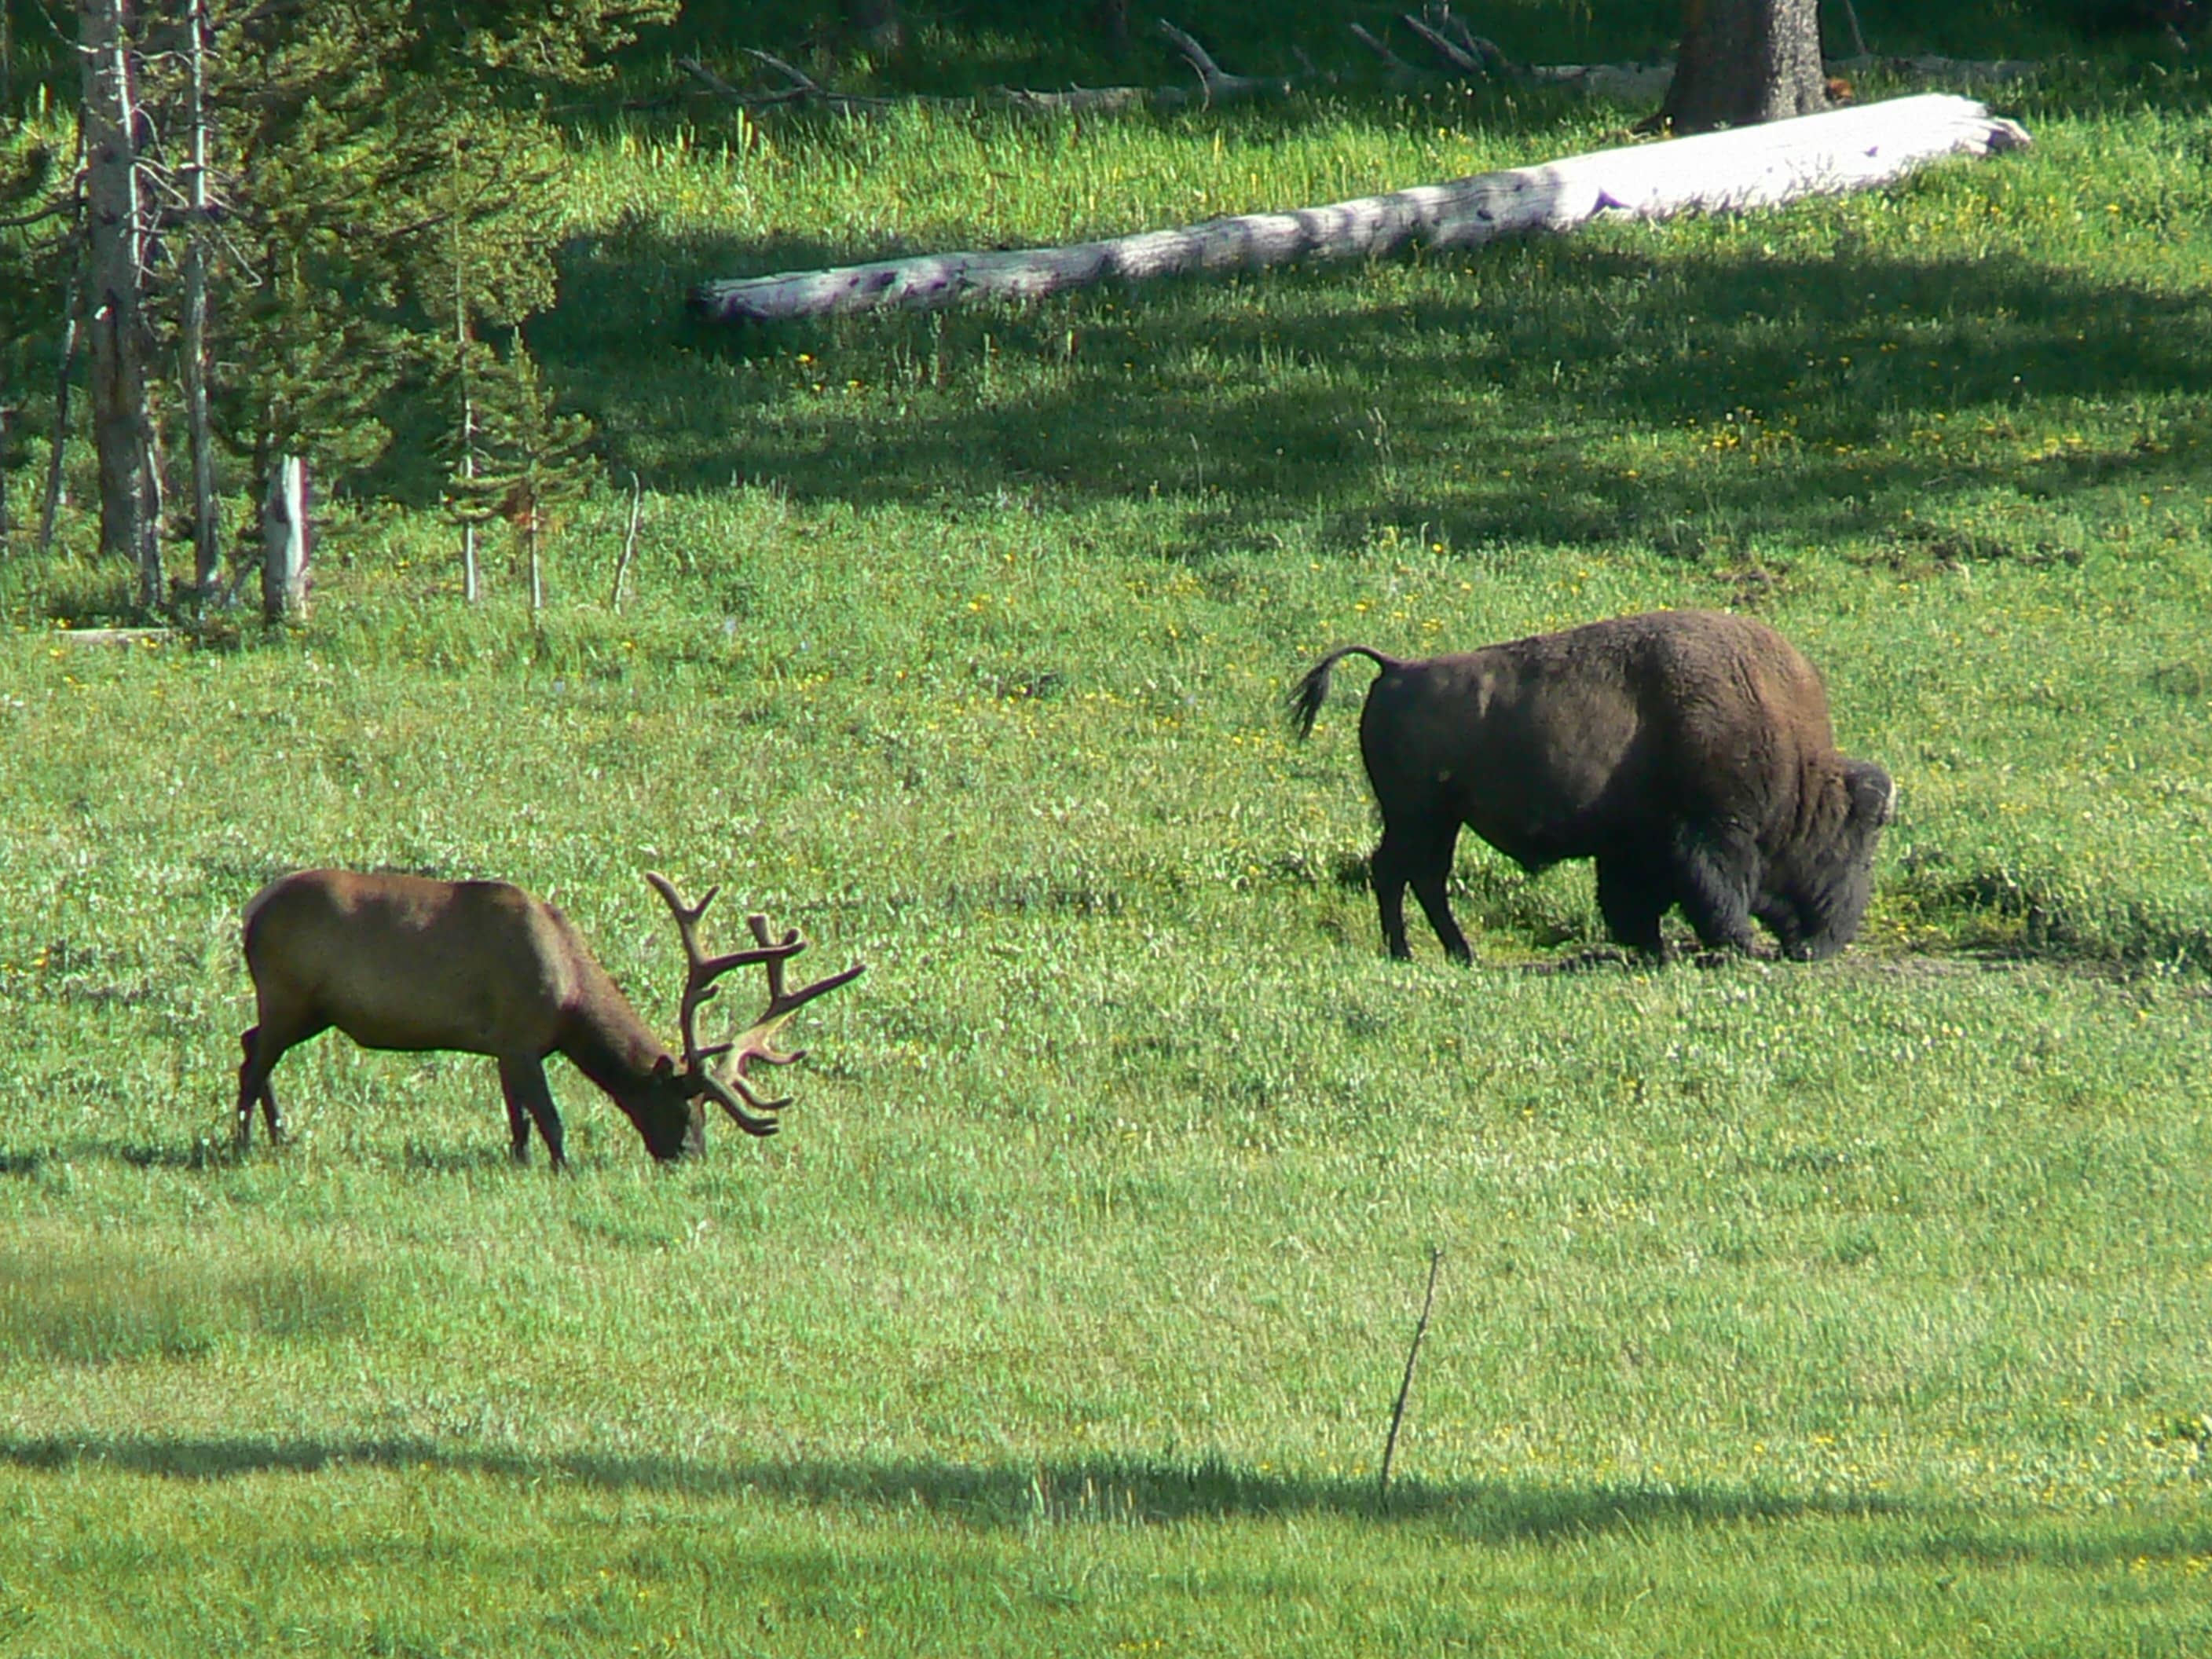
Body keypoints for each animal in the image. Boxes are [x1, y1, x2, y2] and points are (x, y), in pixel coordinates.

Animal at [233, 868, 865, 1167]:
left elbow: (518, 1118)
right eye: (684, 1107)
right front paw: (564, 1168)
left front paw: (520, 1161)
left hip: (306, 1008)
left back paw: (279, 1135)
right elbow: (551, 1118)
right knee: (252, 1060)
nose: (692, 1158)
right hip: (288, 993)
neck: (570, 998)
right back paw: (243, 1143)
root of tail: (251, 911)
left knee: (248, 1042)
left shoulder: (506, 1046)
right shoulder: (521, 1035)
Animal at [1291, 609, 1894, 962]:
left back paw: (1457, 955)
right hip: (1419, 817)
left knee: (1419, 877)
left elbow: (1633, 900)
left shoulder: (1636, 845)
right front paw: (1735, 946)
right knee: (1400, 874)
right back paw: (1411, 954)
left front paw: (1651, 950)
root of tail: (1395, 668)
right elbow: (1714, 891)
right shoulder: (1712, 834)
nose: (1831, 940)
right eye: (1852, 849)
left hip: (1438, 820)